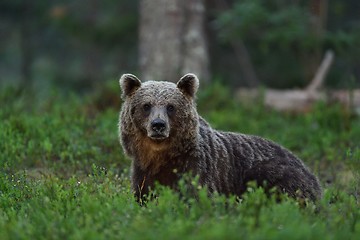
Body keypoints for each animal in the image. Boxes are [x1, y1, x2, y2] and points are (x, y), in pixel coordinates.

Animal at [119, 73, 322, 202]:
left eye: (170, 106)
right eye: (146, 105)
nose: (158, 125)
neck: (161, 155)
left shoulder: (197, 167)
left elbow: (196, 196)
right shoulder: (142, 170)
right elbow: (144, 194)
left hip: (273, 172)